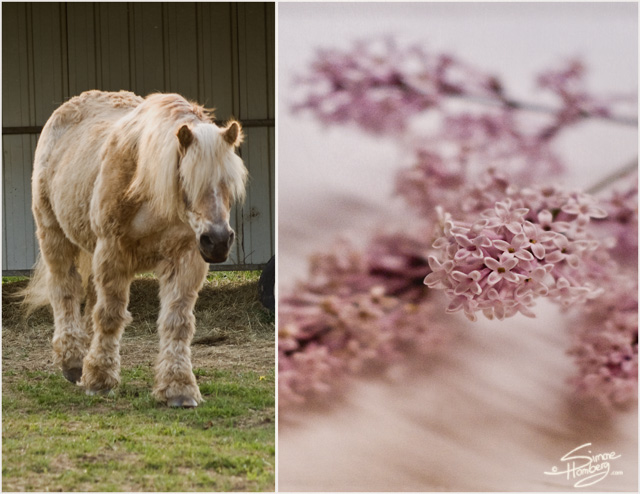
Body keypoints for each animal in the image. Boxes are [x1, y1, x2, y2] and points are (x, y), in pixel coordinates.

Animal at [21, 90, 248, 408]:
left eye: (229, 182)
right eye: (186, 179)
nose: (217, 241)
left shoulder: (187, 258)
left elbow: (177, 322)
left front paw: (179, 388)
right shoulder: (113, 252)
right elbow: (110, 315)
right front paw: (99, 380)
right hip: (54, 234)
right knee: (65, 291)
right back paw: (74, 363)